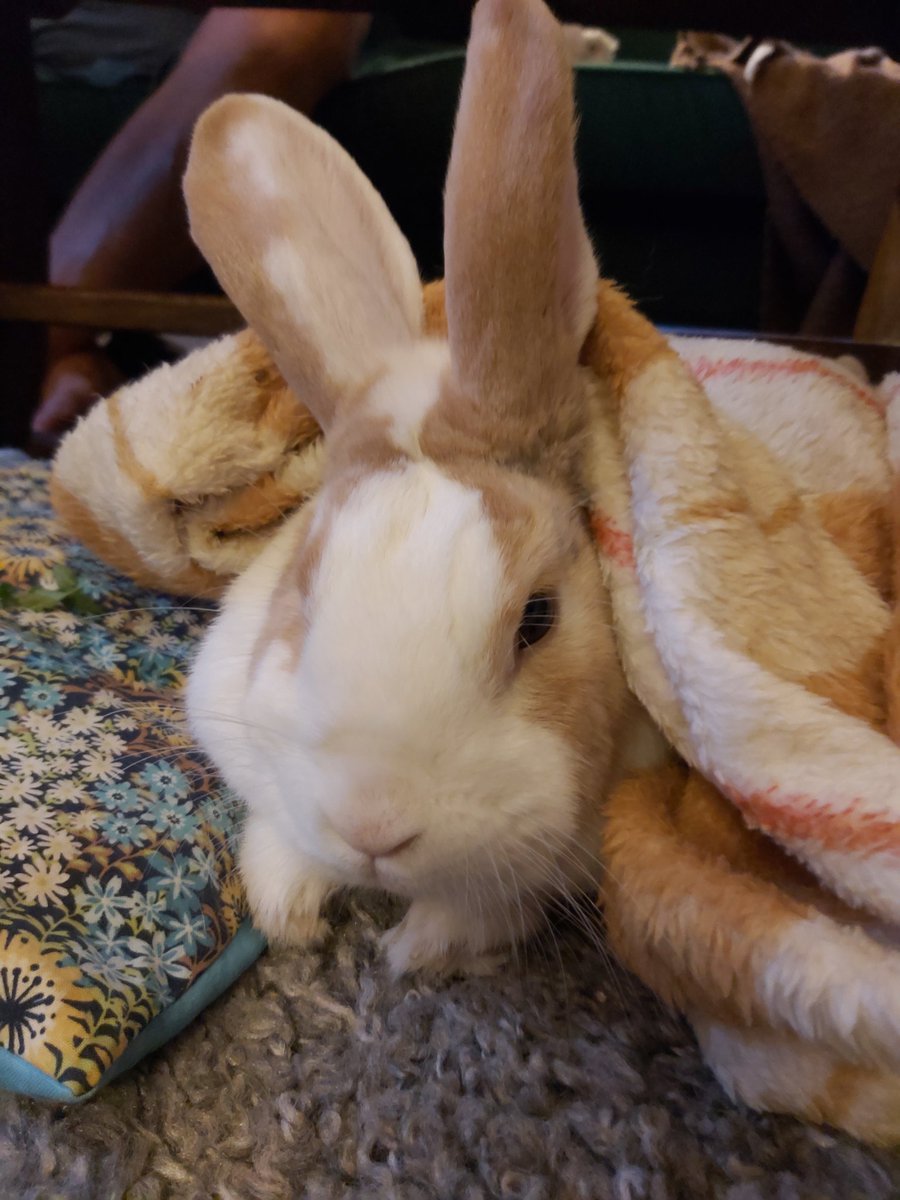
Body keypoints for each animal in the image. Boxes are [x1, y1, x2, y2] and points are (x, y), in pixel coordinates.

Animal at [184, 0, 657, 976]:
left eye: (539, 620)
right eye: (300, 598)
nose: (373, 827)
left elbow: (487, 906)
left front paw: (413, 952)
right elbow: (278, 839)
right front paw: (291, 915)